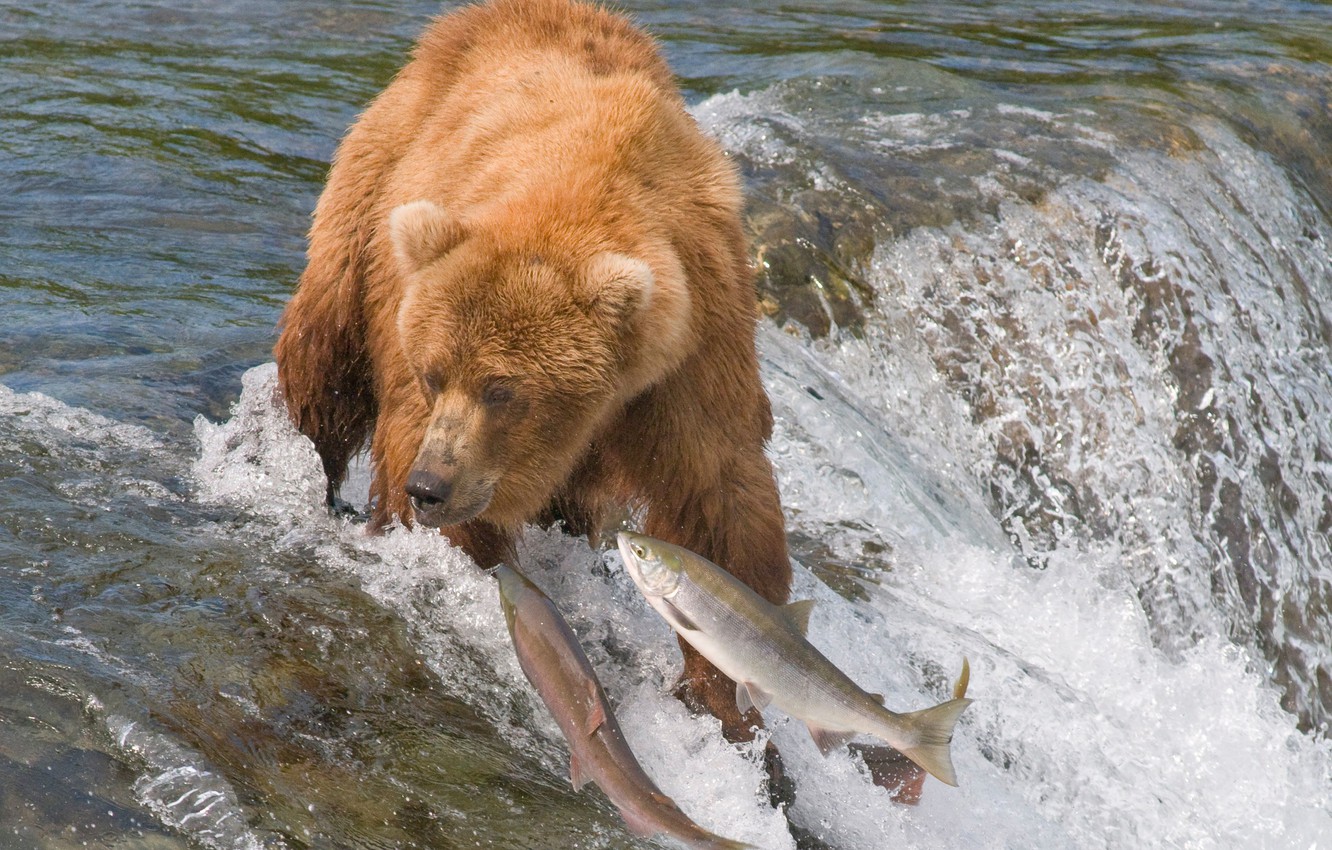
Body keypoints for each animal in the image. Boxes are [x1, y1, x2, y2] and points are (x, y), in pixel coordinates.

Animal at [274, 0, 791, 750]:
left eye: (503, 390)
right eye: (434, 375)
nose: (431, 486)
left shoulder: (693, 350)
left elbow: (717, 502)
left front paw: (727, 695)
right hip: (372, 195)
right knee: (324, 358)